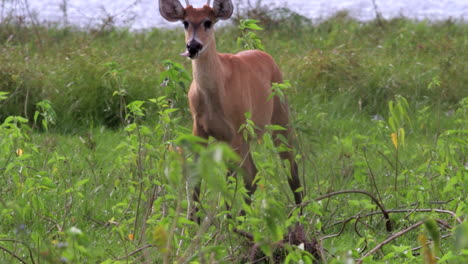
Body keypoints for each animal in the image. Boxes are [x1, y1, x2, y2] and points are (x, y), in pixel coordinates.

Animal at [158, 0, 304, 214]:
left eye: (208, 22)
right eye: (185, 22)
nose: (193, 46)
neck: (215, 97)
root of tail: (268, 57)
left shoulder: (234, 129)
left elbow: (233, 179)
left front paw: (231, 219)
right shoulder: (199, 127)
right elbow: (196, 179)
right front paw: (193, 219)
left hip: (279, 116)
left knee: (289, 167)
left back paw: (299, 214)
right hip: (245, 137)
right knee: (253, 173)